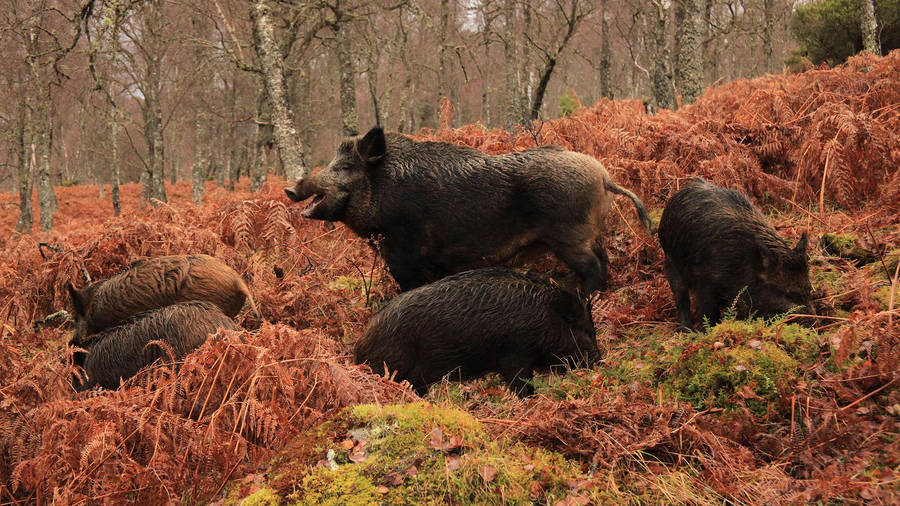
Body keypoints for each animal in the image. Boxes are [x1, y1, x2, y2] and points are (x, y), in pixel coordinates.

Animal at [285, 127, 651, 294]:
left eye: (346, 167)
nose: (290, 189)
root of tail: (603, 176)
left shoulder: (404, 252)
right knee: (603, 260)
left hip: (570, 235)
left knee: (593, 266)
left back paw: (586, 295)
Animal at [352, 268, 602, 398]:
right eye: (584, 330)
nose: (600, 361)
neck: (544, 316)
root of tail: (360, 344)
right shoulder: (515, 356)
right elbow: (521, 384)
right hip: (391, 367)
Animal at [657, 178, 814, 330]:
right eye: (787, 293)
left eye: (809, 289)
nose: (814, 321)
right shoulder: (704, 282)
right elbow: (709, 312)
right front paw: (710, 330)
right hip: (670, 262)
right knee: (681, 297)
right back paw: (686, 329)